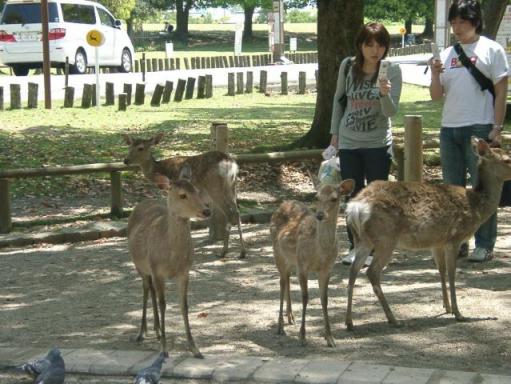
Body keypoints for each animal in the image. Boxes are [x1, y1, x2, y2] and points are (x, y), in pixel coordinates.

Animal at [129, 164, 211, 358]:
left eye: (197, 190)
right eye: (182, 195)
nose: (206, 210)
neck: (173, 259)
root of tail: (142, 202)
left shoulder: (185, 271)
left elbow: (184, 306)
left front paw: (195, 348)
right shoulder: (157, 270)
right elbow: (164, 304)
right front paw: (164, 350)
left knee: (151, 290)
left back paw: (157, 330)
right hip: (139, 265)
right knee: (146, 289)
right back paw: (142, 332)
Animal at [272, 178, 356, 346]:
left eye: (334, 198)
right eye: (316, 197)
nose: (320, 215)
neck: (320, 251)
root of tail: (283, 203)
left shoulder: (326, 268)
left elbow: (325, 299)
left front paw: (330, 338)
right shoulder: (303, 265)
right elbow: (305, 297)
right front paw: (302, 336)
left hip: (291, 259)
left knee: (287, 280)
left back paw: (291, 317)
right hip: (278, 253)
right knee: (282, 283)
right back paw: (280, 326)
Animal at [342, 138, 511, 330]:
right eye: (507, 159)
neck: (475, 207)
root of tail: (355, 208)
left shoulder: (437, 241)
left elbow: (441, 270)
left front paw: (447, 307)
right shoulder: (454, 238)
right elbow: (452, 273)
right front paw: (459, 313)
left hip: (363, 240)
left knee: (353, 270)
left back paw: (349, 321)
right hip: (386, 238)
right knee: (372, 272)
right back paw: (393, 319)